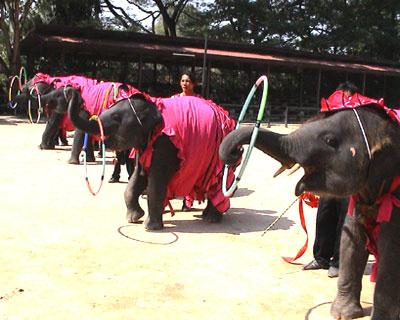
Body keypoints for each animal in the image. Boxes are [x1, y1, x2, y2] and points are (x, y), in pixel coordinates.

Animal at [65, 87, 234, 230]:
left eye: (116, 117)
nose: (70, 90)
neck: (152, 105)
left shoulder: (166, 143)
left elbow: (156, 180)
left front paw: (150, 228)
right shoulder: (144, 145)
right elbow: (138, 175)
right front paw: (134, 218)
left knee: (219, 183)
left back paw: (211, 218)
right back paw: (205, 215)